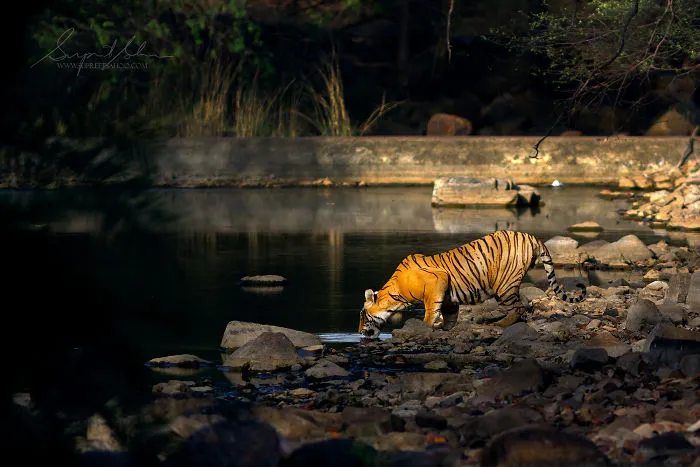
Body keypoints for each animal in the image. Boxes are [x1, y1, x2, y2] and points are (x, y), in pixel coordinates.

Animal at [358, 230, 586, 338]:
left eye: (362, 316)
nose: (359, 332)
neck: (396, 294)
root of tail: (532, 237)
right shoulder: (447, 297)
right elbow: (449, 315)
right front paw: (444, 328)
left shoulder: (437, 282)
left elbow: (430, 311)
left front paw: (425, 327)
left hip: (504, 285)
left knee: (518, 309)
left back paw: (499, 325)